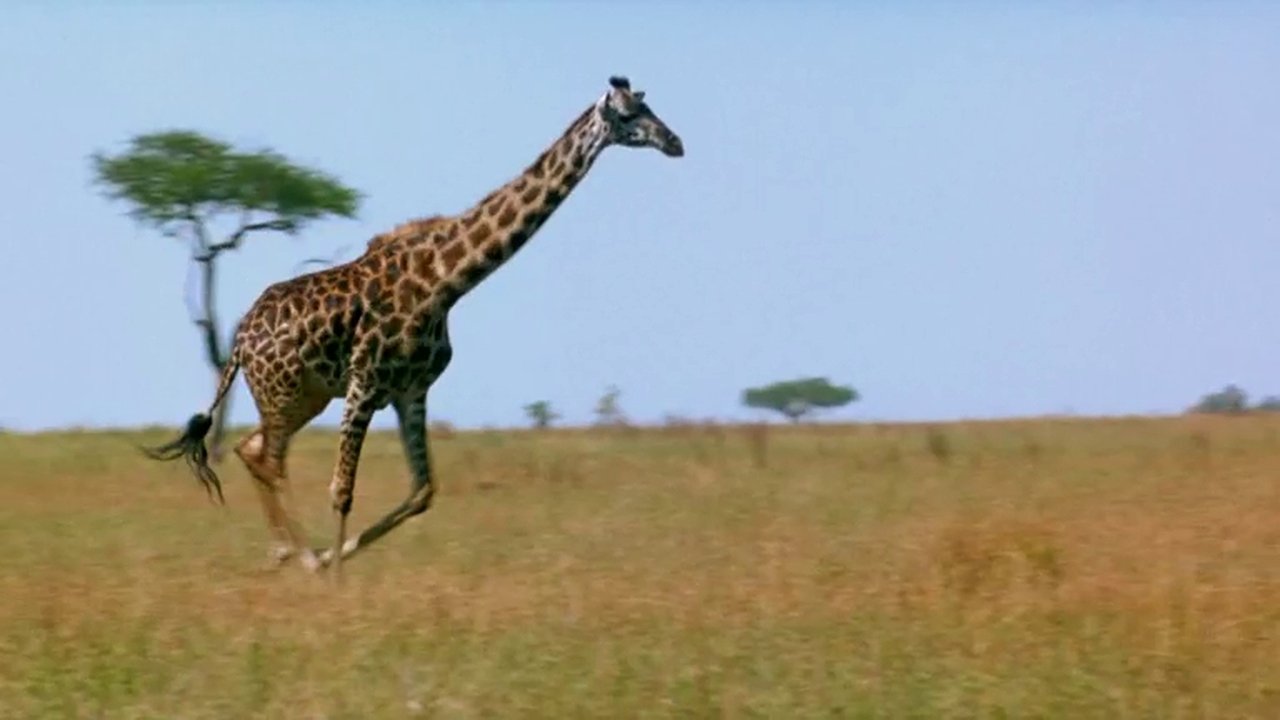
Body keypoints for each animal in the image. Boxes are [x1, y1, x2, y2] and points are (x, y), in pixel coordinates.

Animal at [142, 75, 684, 577]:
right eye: (629, 115)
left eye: (650, 106)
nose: (675, 142)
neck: (444, 281)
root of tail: (238, 341)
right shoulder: (365, 383)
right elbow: (342, 490)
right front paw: (334, 579)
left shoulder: (411, 391)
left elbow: (423, 489)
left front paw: (337, 553)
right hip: (284, 393)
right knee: (269, 459)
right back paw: (302, 558)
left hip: (304, 397)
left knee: (250, 448)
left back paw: (288, 552)